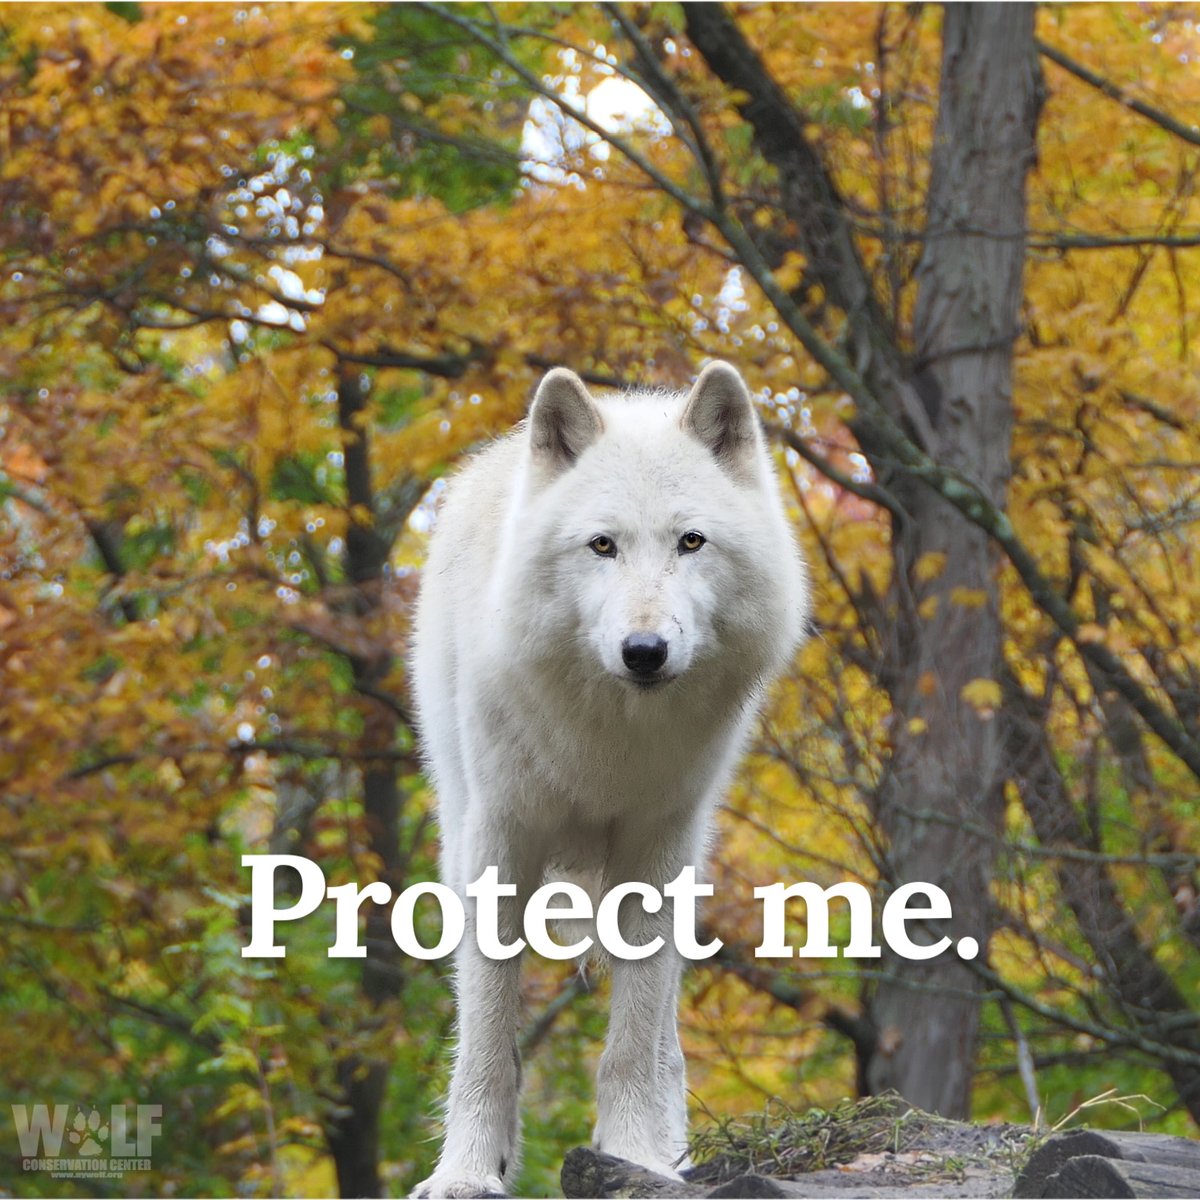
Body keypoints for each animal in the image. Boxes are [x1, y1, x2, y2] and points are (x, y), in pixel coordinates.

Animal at [410, 362, 808, 1198]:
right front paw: (467, 1172)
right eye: (603, 545)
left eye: (690, 541)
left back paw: (673, 1146)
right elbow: (487, 1037)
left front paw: (634, 1157)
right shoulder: (501, 840)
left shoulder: (655, 847)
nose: (645, 650)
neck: (609, 742)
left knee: (665, 1036)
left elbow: (634, 1039)